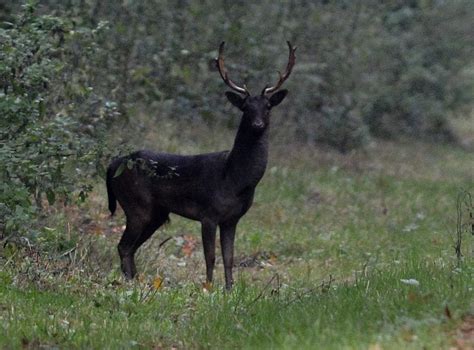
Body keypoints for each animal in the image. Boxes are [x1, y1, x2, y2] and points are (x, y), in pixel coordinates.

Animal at [106, 41, 296, 290]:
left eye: (268, 106)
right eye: (245, 107)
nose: (257, 124)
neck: (235, 180)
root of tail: (113, 164)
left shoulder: (231, 219)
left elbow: (229, 257)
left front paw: (229, 289)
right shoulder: (208, 213)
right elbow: (210, 256)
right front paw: (208, 287)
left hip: (156, 213)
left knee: (130, 248)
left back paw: (137, 282)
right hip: (137, 204)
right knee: (124, 246)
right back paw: (131, 283)